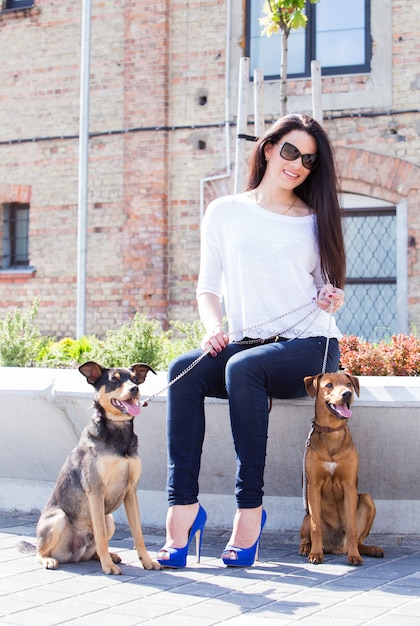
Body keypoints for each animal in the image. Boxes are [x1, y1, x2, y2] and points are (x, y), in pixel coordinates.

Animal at [16, 358, 161, 572]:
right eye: (114, 380)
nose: (135, 389)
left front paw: (147, 561)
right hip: (59, 518)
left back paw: (108, 556)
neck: (117, 431)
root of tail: (73, 556)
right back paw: (50, 559)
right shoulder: (96, 491)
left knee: (93, 549)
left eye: (135, 379)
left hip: (109, 519)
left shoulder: (131, 491)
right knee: (40, 552)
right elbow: (101, 536)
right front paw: (108, 567)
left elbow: (138, 534)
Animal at [298, 370, 384, 564]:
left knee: (358, 539)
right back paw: (307, 548)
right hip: (306, 517)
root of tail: (336, 548)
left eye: (349, 384)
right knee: (307, 534)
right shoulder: (313, 486)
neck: (332, 431)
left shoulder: (349, 485)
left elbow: (352, 528)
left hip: (367, 500)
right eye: (329, 385)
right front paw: (315, 554)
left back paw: (370, 549)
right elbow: (316, 527)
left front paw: (354, 556)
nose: (347, 394)